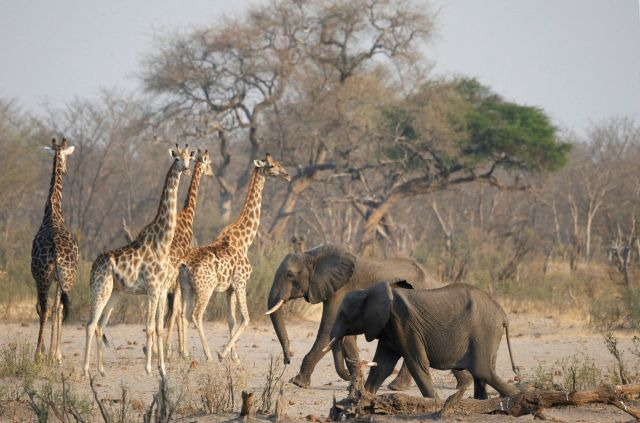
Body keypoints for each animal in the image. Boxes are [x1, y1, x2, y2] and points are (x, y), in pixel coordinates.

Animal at [85, 144, 195, 376]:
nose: (186, 168)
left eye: (189, 158)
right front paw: (149, 368)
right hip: (100, 289)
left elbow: (159, 327)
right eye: (177, 158)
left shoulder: (161, 290)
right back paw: (86, 370)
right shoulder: (152, 289)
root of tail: (93, 267)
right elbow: (150, 327)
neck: (162, 242)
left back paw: (102, 370)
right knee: (90, 324)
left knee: (100, 325)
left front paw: (162, 369)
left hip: (114, 293)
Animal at [179, 154, 292, 362]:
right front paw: (223, 353)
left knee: (184, 314)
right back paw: (208, 355)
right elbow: (245, 318)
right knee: (197, 315)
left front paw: (235, 357)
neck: (245, 240)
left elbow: (231, 319)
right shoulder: (241, 282)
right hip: (205, 288)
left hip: (186, 287)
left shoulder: (229, 288)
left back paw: (185, 354)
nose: (287, 175)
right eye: (272, 166)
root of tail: (185, 264)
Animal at [264, 245, 444, 390]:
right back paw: (396, 387)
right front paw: (355, 384)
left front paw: (298, 383)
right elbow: (345, 337)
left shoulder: (341, 289)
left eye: (289, 275)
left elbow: (328, 330)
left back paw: (395, 387)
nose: (287, 359)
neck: (312, 255)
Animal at [330, 282, 520, 400]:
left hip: (484, 331)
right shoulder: (389, 328)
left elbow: (417, 363)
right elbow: (382, 366)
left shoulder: (403, 323)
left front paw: (435, 402)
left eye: (344, 314)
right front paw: (365, 400)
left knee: (482, 371)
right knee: (483, 373)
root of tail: (503, 315)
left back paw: (517, 395)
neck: (369, 291)